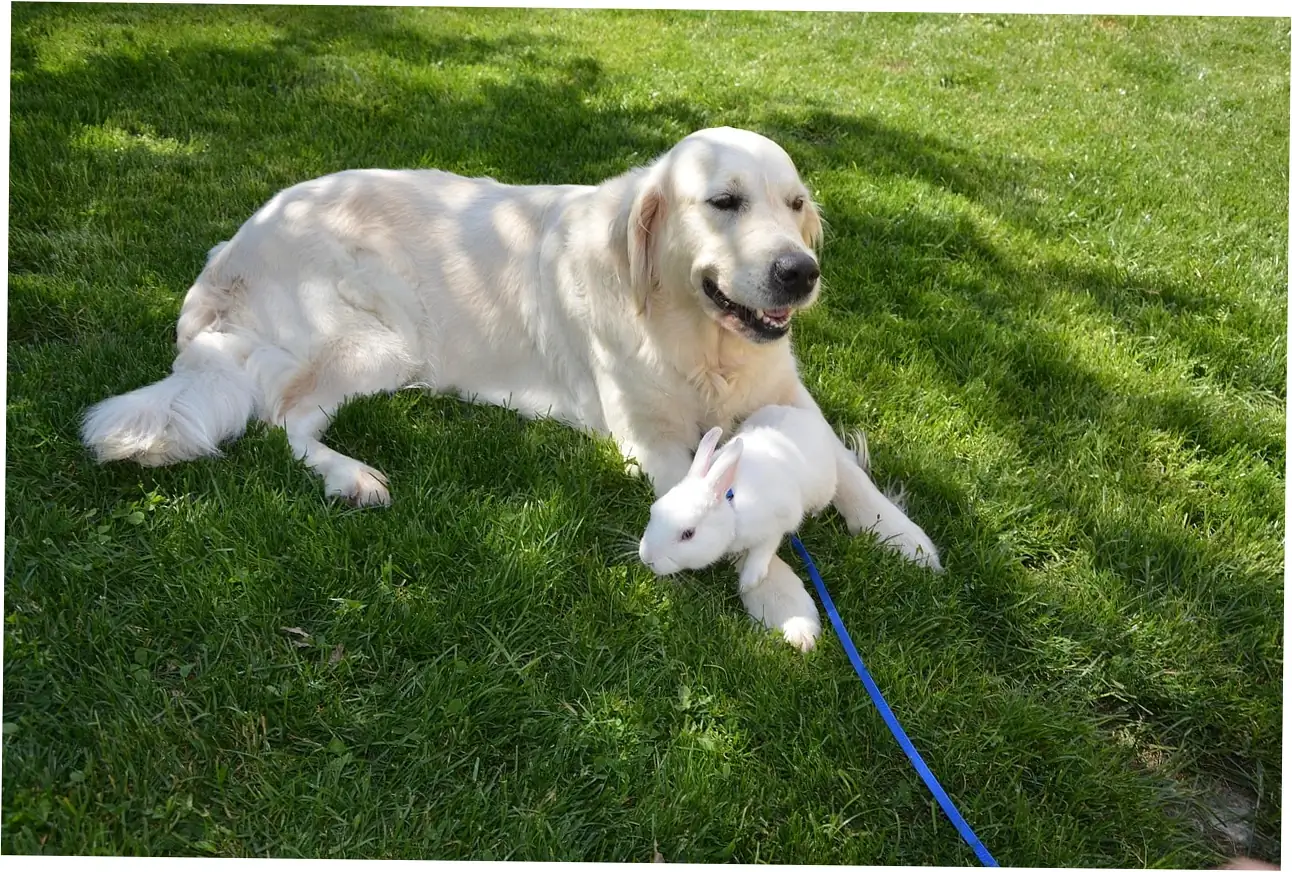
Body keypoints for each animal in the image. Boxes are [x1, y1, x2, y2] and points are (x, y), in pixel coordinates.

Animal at [637, 404, 840, 594]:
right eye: (653, 511)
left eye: (688, 534)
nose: (646, 558)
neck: (732, 507)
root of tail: (808, 417)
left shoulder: (778, 522)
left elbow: (764, 548)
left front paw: (749, 582)